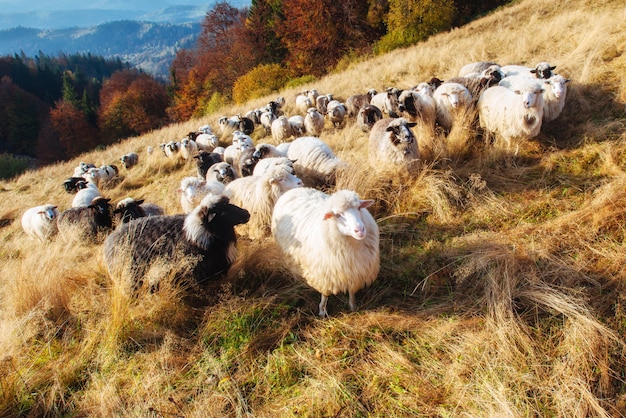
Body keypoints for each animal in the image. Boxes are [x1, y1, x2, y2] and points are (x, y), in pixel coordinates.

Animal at [270, 187, 378, 316]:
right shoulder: (324, 273)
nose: (360, 230)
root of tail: (295, 189)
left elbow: (352, 291)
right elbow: (325, 294)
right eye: (337, 215)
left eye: (359, 208)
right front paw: (322, 311)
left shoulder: (355, 271)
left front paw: (353, 306)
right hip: (288, 254)